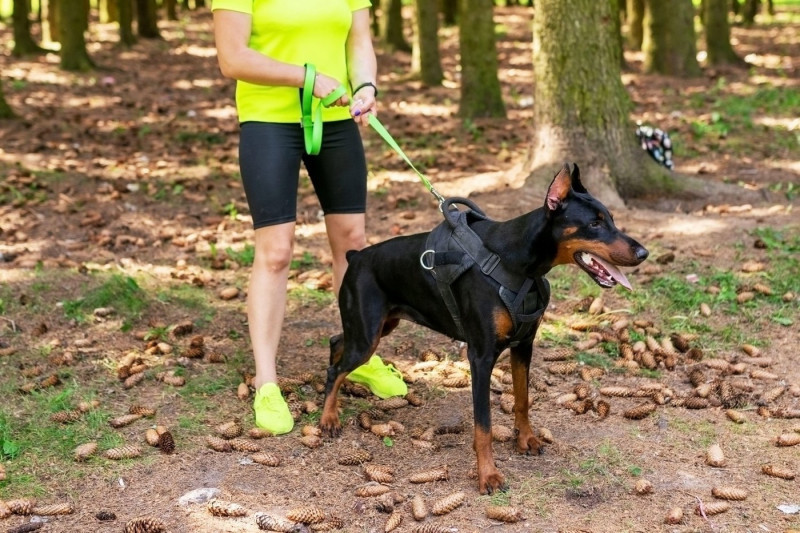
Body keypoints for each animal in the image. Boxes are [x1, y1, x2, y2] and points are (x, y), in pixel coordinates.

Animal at [316, 163, 648, 494]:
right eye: (594, 223)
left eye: (611, 219)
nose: (643, 253)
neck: (518, 262)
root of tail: (356, 256)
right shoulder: (481, 356)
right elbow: (484, 425)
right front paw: (488, 475)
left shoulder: (523, 345)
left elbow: (522, 399)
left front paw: (526, 440)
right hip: (368, 334)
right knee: (336, 368)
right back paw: (329, 418)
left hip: (380, 325)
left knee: (336, 341)